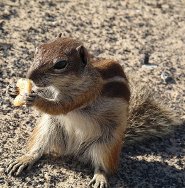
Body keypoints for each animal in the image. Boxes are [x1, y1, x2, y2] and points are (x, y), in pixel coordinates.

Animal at [6, 36, 178, 187]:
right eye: (38, 49)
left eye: (61, 64)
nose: (29, 76)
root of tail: (74, 151)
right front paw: (14, 90)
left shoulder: (85, 94)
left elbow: (59, 107)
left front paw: (34, 99)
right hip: (48, 128)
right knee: (38, 149)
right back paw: (25, 159)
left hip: (105, 145)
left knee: (103, 167)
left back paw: (100, 177)